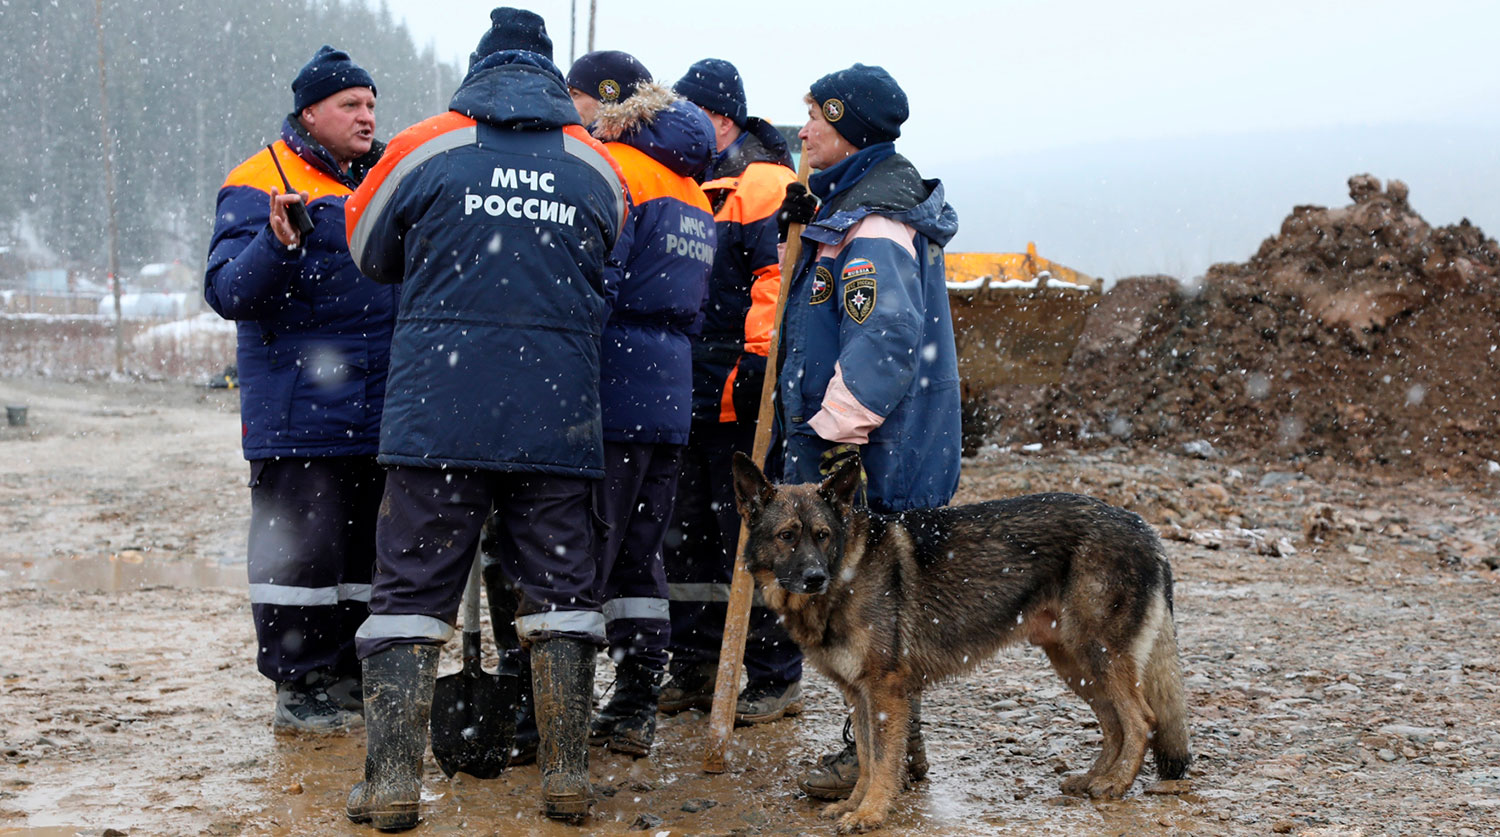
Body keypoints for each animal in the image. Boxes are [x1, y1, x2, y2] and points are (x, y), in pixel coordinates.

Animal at [732, 456, 1188, 834]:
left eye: (823, 535)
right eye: (787, 536)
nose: (814, 578)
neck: (848, 567)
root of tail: (1143, 526)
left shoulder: (884, 691)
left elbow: (881, 760)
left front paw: (871, 812)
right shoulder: (860, 695)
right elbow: (865, 756)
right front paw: (854, 803)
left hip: (1100, 656)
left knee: (1141, 720)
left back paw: (1116, 783)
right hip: (1077, 665)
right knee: (1113, 723)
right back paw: (1095, 777)